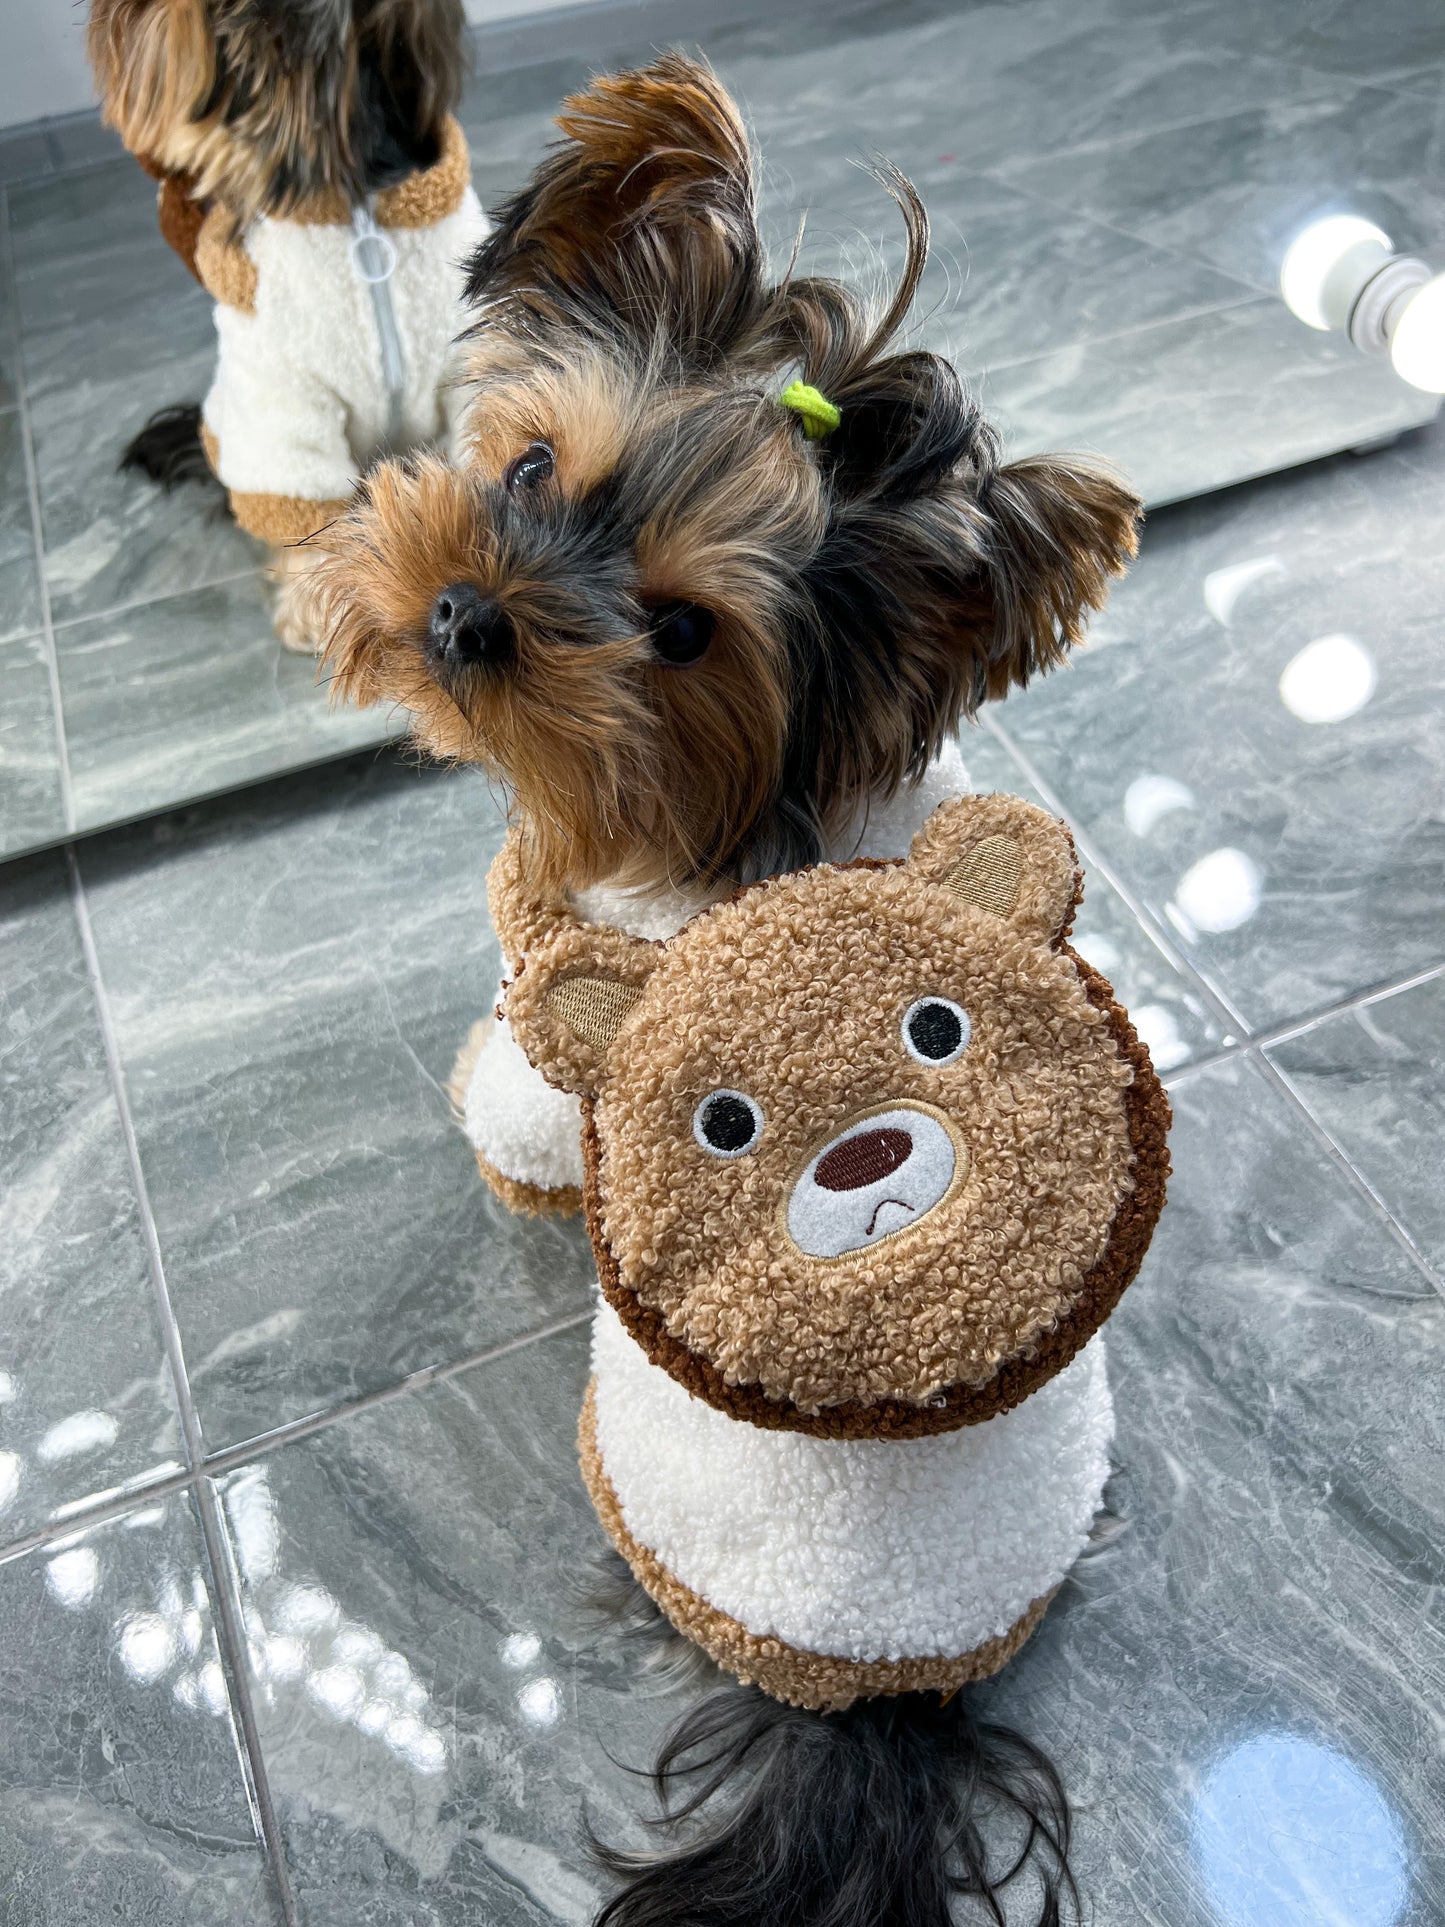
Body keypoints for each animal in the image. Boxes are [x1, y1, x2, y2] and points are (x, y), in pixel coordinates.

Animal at [90, 0, 487, 651]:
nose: (104, 16)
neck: (356, 205)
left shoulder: (467, 367)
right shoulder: (283, 404)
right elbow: (304, 508)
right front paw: (320, 608)